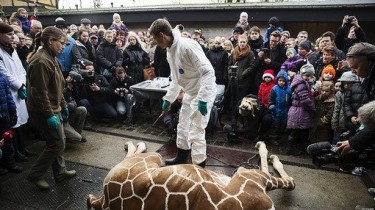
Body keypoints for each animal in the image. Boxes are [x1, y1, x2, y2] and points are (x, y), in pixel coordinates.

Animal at [88, 141, 296, 210]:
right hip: (153, 158)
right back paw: (133, 142)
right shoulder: (249, 177)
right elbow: (289, 181)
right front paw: (267, 150)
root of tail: (105, 200)